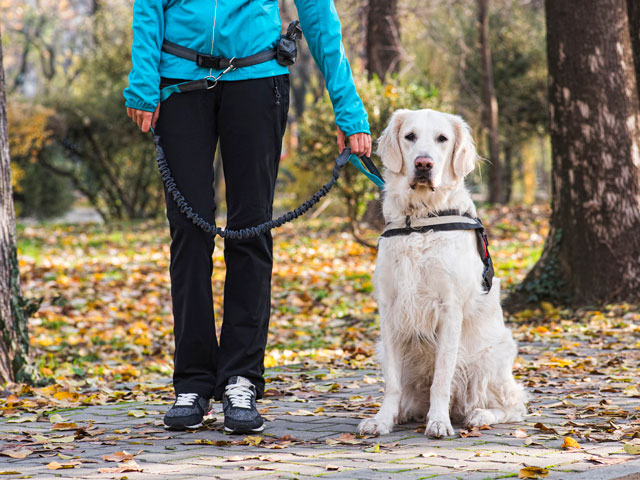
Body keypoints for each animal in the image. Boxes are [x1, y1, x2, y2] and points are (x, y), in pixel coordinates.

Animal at [358, 109, 528, 438]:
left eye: (442, 139)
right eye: (410, 136)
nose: (423, 164)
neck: (419, 220)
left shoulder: (450, 309)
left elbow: (442, 377)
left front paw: (438, 421)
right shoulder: (390, 309)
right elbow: (392, 383)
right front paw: (383, 419)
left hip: (491, 356)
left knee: (513, 406)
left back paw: (479, 415)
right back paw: (403, 413)